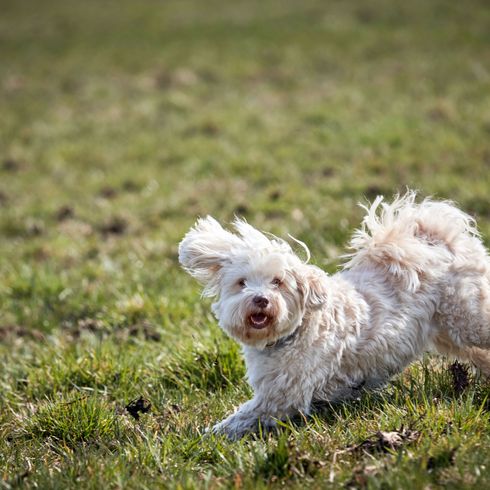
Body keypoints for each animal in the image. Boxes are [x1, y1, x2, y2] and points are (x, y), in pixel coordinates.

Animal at [178, 192, 490, 440]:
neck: (293, 333)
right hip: (450, 332)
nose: (261, 299)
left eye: (277, 282)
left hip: (470, 318)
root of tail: (440, 238)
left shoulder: (280, 398)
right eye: (242, 283)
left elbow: (238, 420)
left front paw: (204, 437)